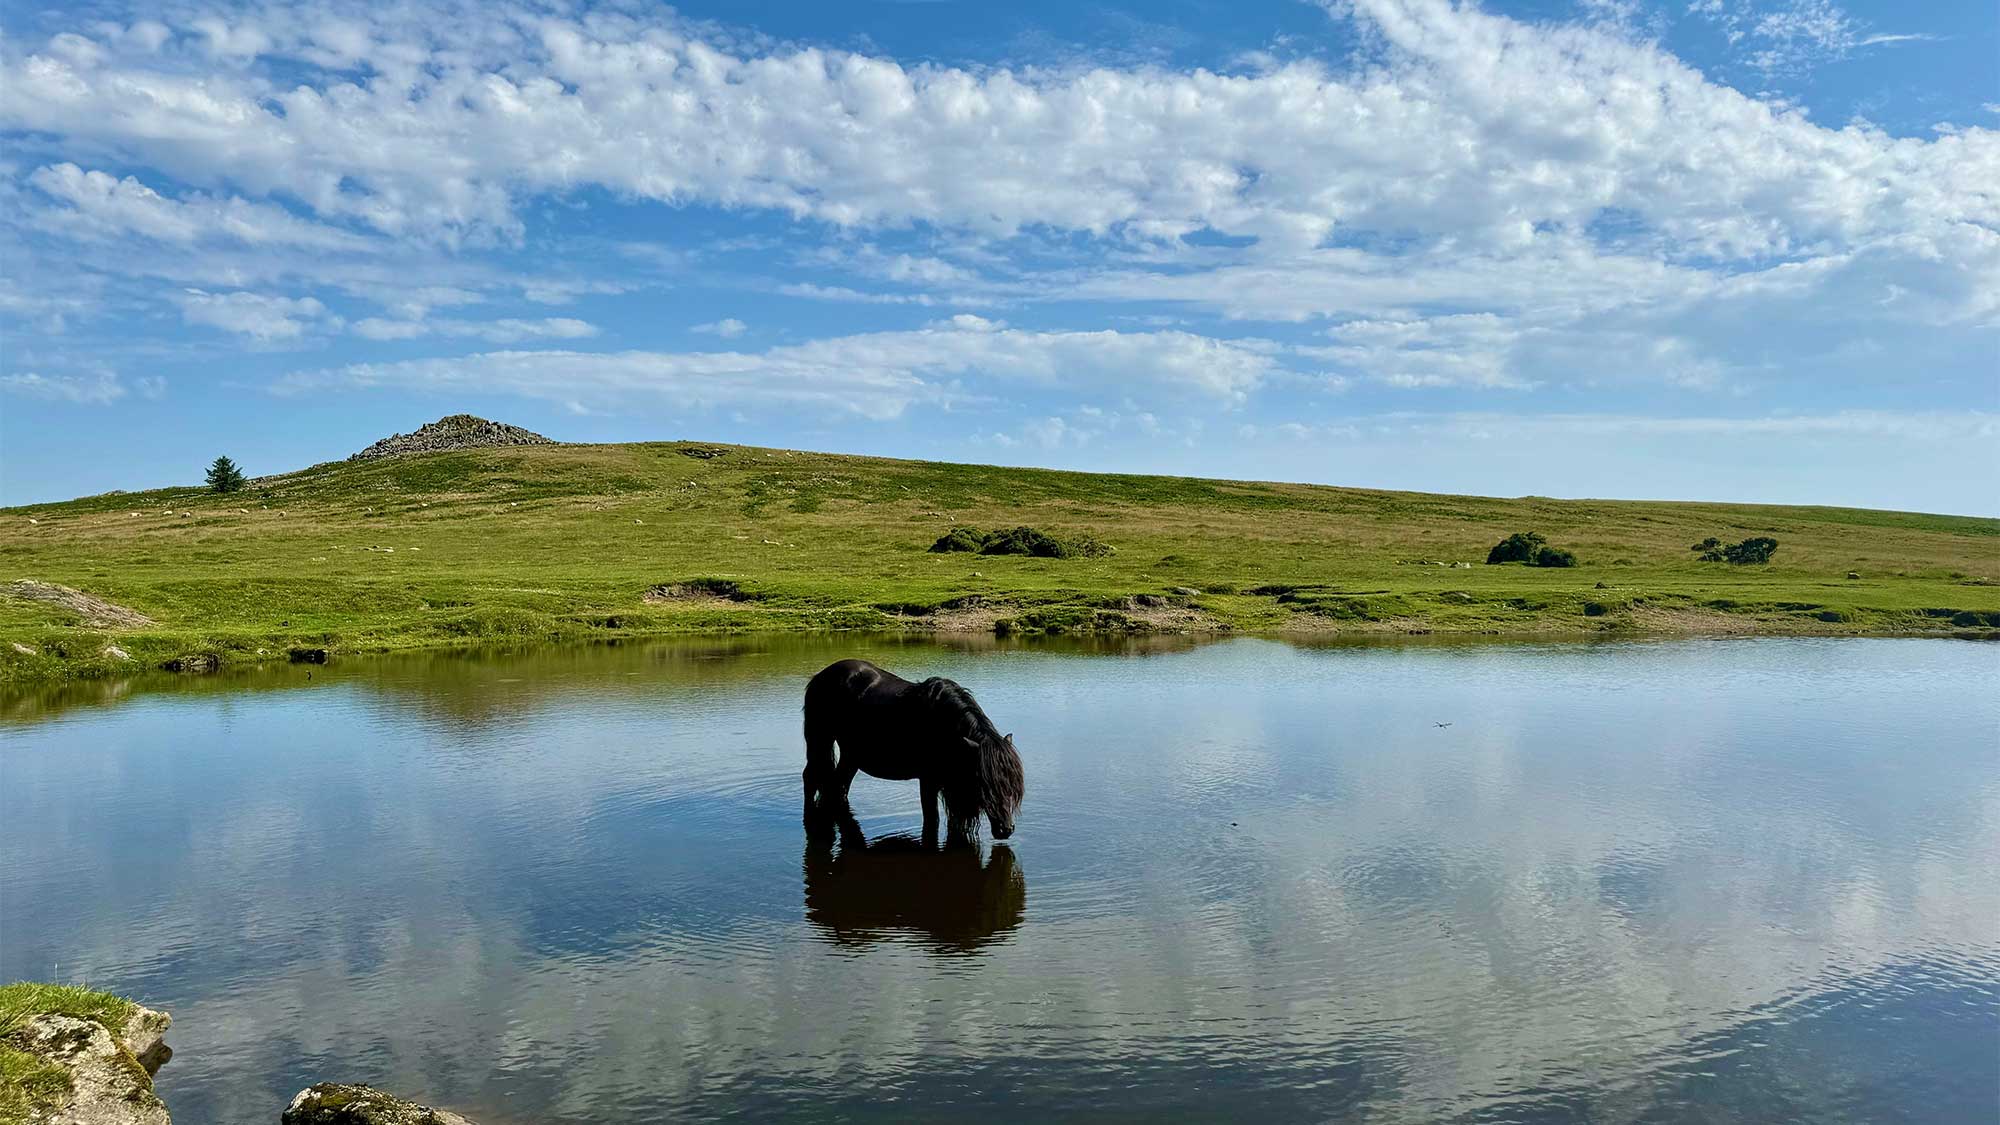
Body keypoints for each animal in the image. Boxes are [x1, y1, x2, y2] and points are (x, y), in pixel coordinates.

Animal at [802, 658, 1025, 841]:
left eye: (1012, 785)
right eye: (986, 785)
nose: (1006, 829)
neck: (945, 726)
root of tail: (820, 676)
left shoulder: (954, 787)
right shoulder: (928, 780)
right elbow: (932, 820)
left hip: (851, 754)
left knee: (839, 786)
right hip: (820, 740)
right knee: (811, 778)